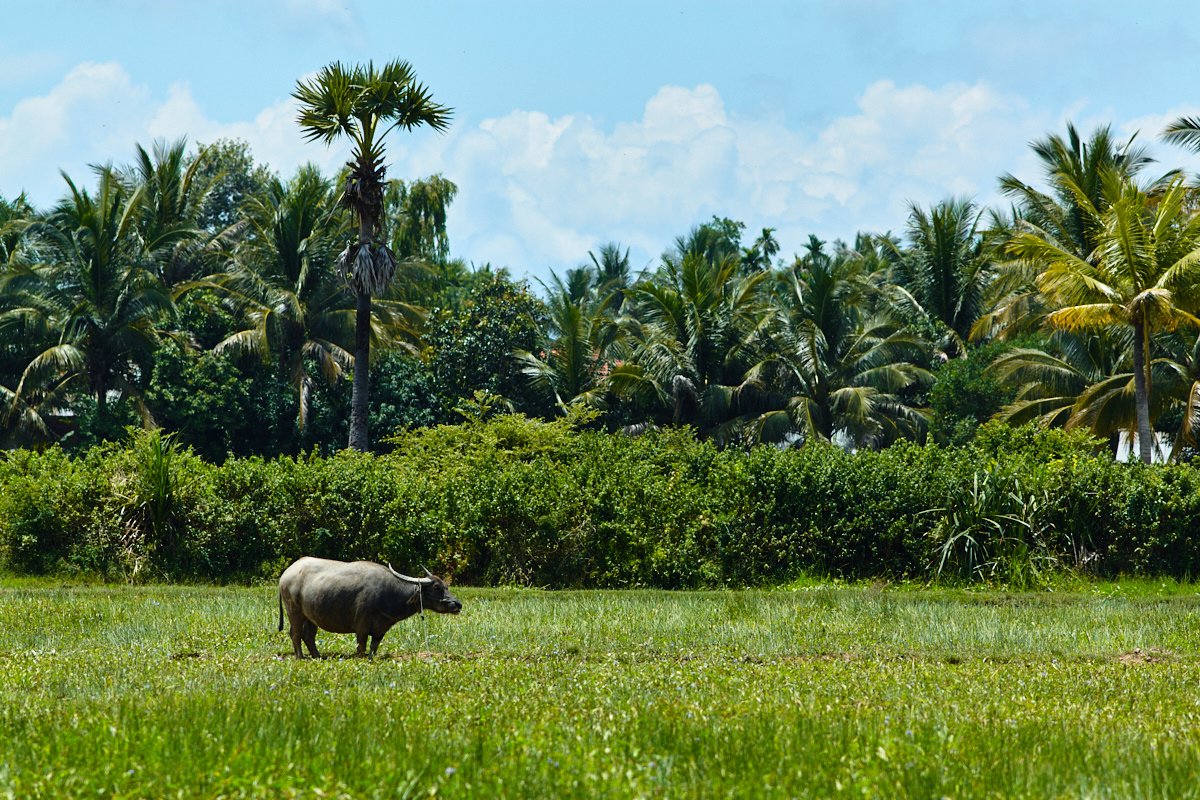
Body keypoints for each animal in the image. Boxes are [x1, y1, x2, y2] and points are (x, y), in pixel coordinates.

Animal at [274, 556, 458, 657]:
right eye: (436, 587)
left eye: (446, 586)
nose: (457, 604)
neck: (390, 593)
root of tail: (286, 574)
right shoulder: (361, 626)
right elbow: (361, 647)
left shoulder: (381, 628)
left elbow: (373, 648)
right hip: (294, 611)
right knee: (295, 633)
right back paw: (300, 657)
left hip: (311, 616)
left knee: (308, 636)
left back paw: (317, 656)